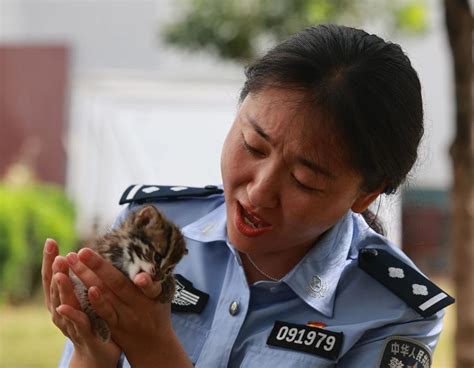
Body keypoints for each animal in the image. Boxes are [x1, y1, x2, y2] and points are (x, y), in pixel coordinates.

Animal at [70, 206, 187, 340]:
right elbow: (84, 293)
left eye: (168, 270)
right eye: (157, 257)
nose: (157, 278)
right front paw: (99, 324)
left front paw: (170, 285)